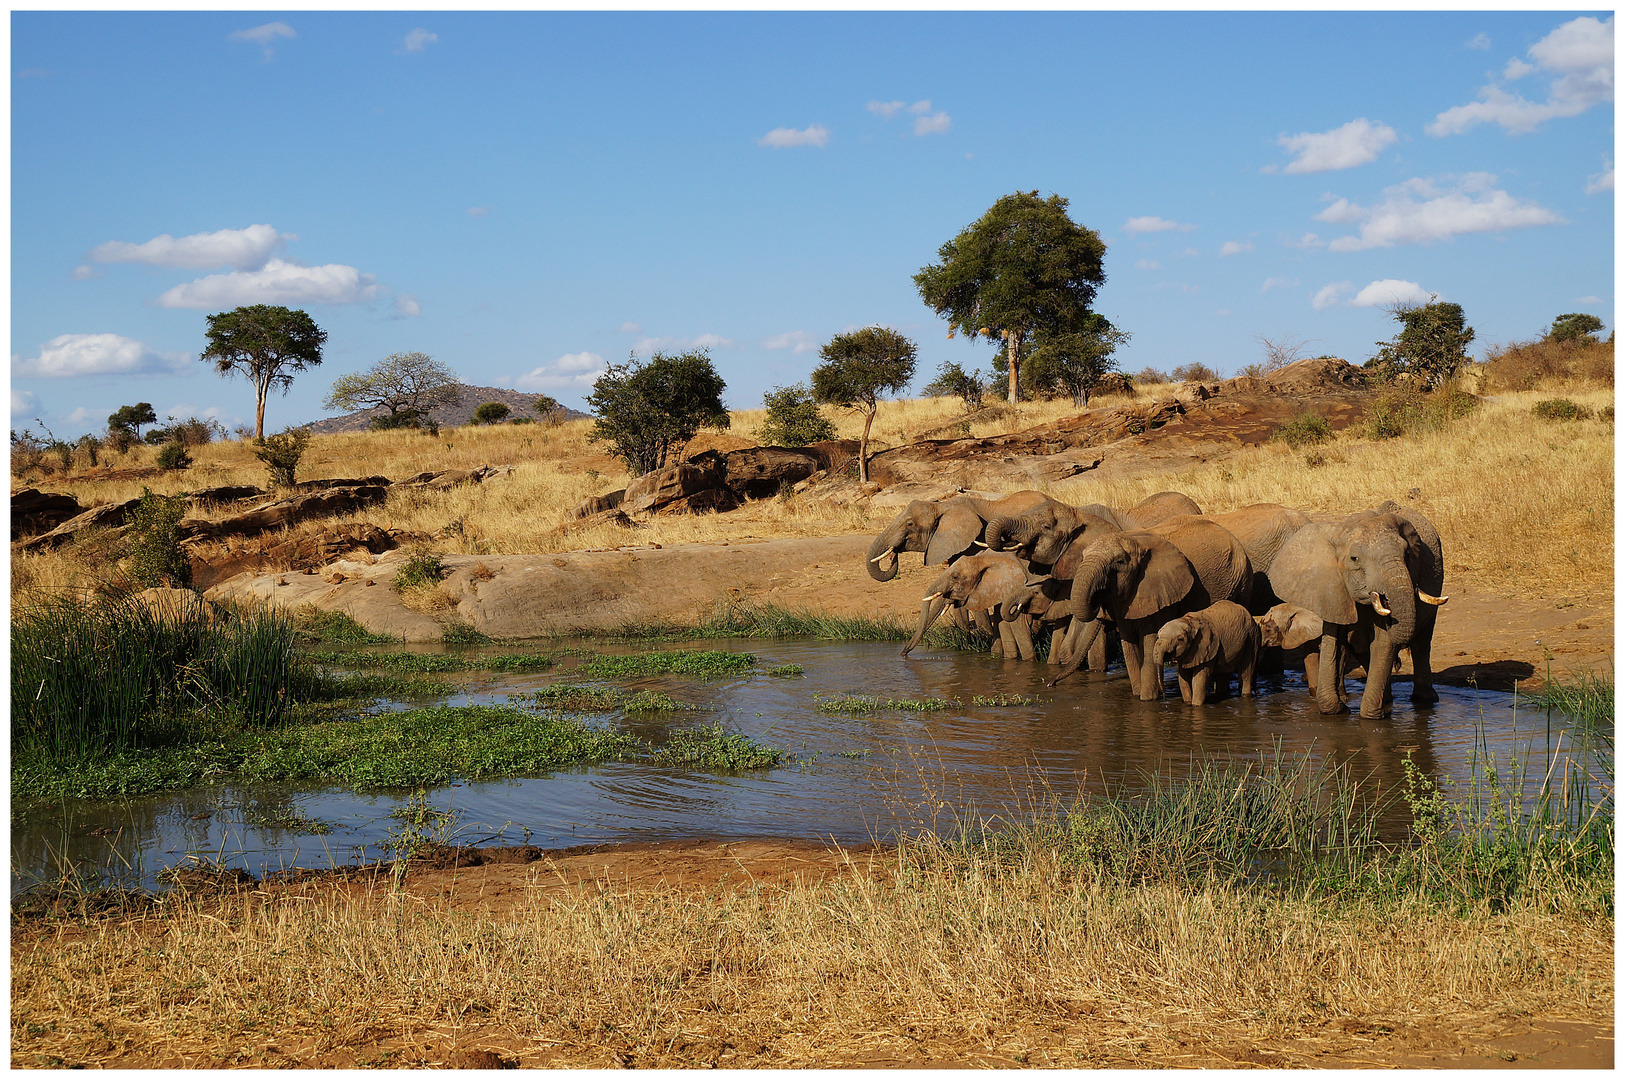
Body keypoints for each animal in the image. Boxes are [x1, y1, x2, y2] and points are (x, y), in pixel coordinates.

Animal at [1040, 516, 1254, 698]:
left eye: (1119, 562)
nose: (1050, 684)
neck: (1133, 540)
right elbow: (1129, 646)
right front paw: (1138, 695)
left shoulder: (1161, 592)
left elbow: (1150, 640)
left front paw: (1149, 699)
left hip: (1241, 584)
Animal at [1267, 500, 1449, 721]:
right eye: (1354, 559)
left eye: (1407, 555)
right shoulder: (1331, 587)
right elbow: (1334, 641)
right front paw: (1339, 710)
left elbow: (1383, 641)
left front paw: (1372, 716)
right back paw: (1388, 699)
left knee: (1422, 642)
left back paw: (1422, 700)